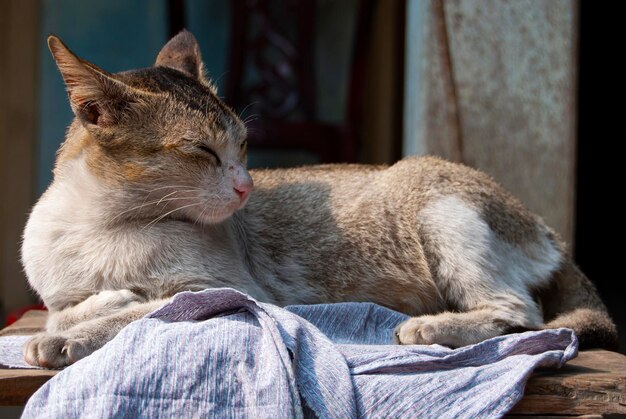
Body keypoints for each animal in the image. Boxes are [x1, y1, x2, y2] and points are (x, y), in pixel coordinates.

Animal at [20, 32, 616, 368]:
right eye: (203, 151)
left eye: (243, 146)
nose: (246, 186)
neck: (104, 225)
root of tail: (549, 232)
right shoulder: (58, 291)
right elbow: (64, 310)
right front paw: (97, 304)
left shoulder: (230, 291)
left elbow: (136, 313)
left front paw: (75, 334)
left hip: (437, 206)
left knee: (527, 316)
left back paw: (431, 326)